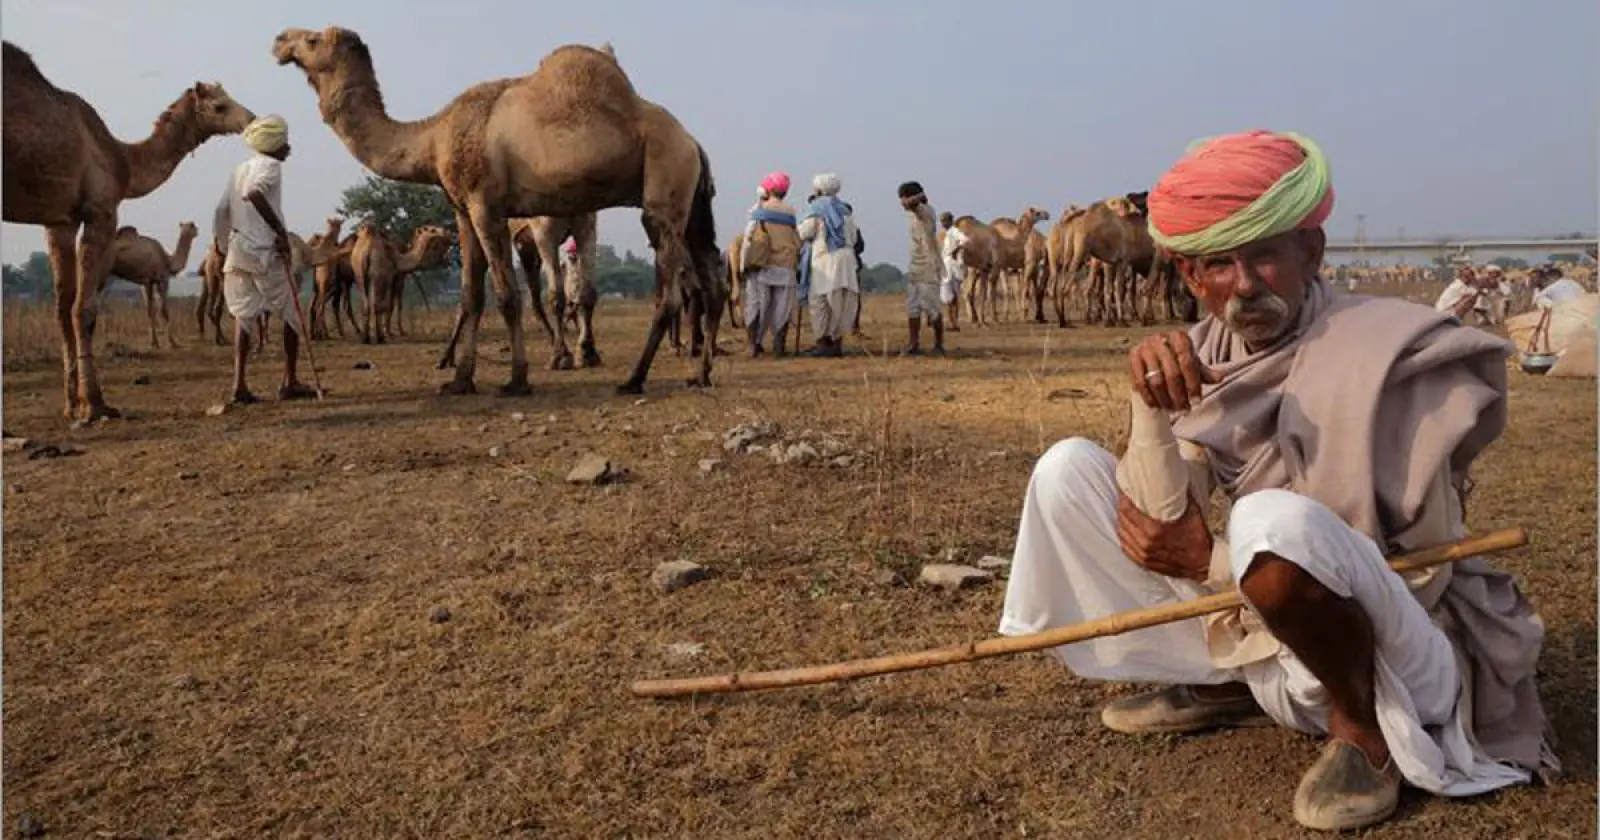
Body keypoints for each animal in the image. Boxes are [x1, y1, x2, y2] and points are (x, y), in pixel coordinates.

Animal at [106, 220, 198, 348]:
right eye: (193, 226)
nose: (197, 231)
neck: (168, 261)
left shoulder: (147, 282)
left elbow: (151, 310)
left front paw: (154, 342)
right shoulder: (162, 279)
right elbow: (164, 310)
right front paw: (172, 342)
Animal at [276, 29, 726, 396]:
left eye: (312, 39)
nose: (280, 41)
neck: (433, 138)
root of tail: (693, 143)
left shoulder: (485, 205)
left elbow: (507, 295)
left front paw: (518, 378)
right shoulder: (461, 210)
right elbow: (472, 296)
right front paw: (460, 379)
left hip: (665, 186)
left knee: (669, 293)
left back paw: (634, 378)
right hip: (693, 203)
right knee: (712, 282)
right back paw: (700, 373)